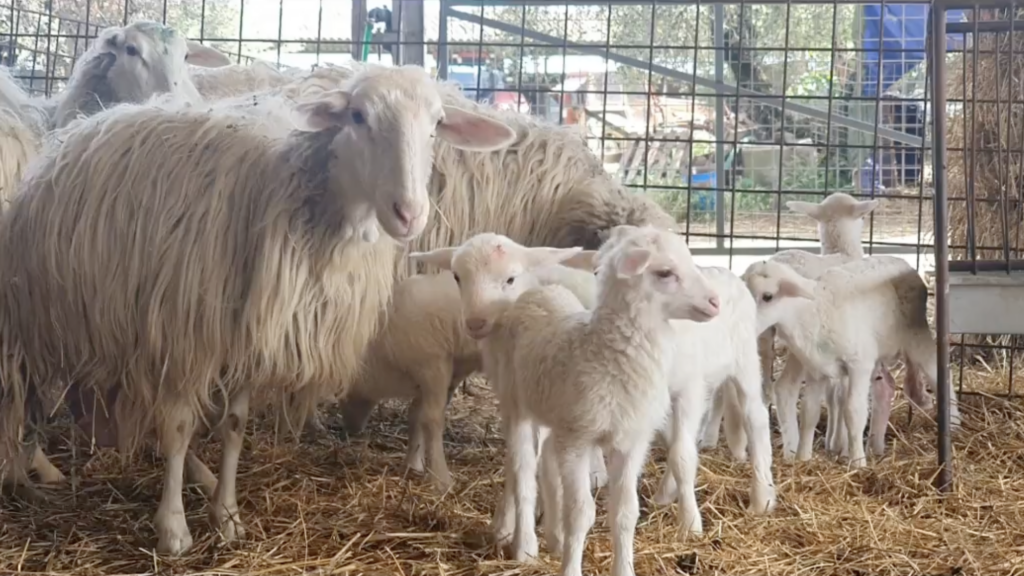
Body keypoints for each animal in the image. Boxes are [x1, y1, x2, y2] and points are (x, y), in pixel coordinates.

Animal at [0, 63, 517, 555]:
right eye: (357, 116)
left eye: (437, 124)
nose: (409, 213)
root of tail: (88, 124)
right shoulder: (187, 340)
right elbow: (179, 426)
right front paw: (174, 529)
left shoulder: (248, 342)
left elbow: (233, 427)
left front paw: (226, 514)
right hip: (45, 313)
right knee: (30, 394)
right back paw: (31, 470)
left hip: (112, 321)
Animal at [409, 227, 721, 575]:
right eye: (665, 272)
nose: (715, 302)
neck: (607, 352)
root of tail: (536, 293)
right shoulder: (577, 440)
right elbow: (581, 512)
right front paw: (569, 564)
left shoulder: (629, 442)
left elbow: (626, 512)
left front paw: (623, 567)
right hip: (518, 405)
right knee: (522, 468)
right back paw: (524, 544)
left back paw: (552, 535)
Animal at [741, 256, 939, 467]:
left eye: (768, 296)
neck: (812, 312)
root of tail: (902, 262)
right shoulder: (816, 368)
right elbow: (809, 412)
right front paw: (803, 457)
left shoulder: (859, 365)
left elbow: (854, 411)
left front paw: (858, 462)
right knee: (885, 387)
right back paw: (876, 447)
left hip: (916, 335)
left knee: (935, 372)